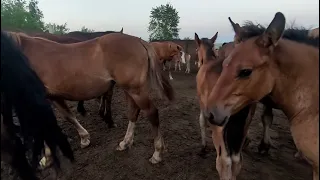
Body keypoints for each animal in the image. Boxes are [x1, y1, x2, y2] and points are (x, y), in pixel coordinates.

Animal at [6, 31, 172, 166]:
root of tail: (139, 41)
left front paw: (46, 158)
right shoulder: (53, 97)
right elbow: (67, 116)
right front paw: (84, 139)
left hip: (135, 90)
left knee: (152, 113)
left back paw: (157, 154)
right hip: (130, 90)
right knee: (133, 112)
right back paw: (125, 143)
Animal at [194, 31, 256, 179]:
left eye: (196, 48)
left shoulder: (202, 105)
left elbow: (201, 122)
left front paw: (203, 147)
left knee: (224, 161)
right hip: (243, 127)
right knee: (237, 160)